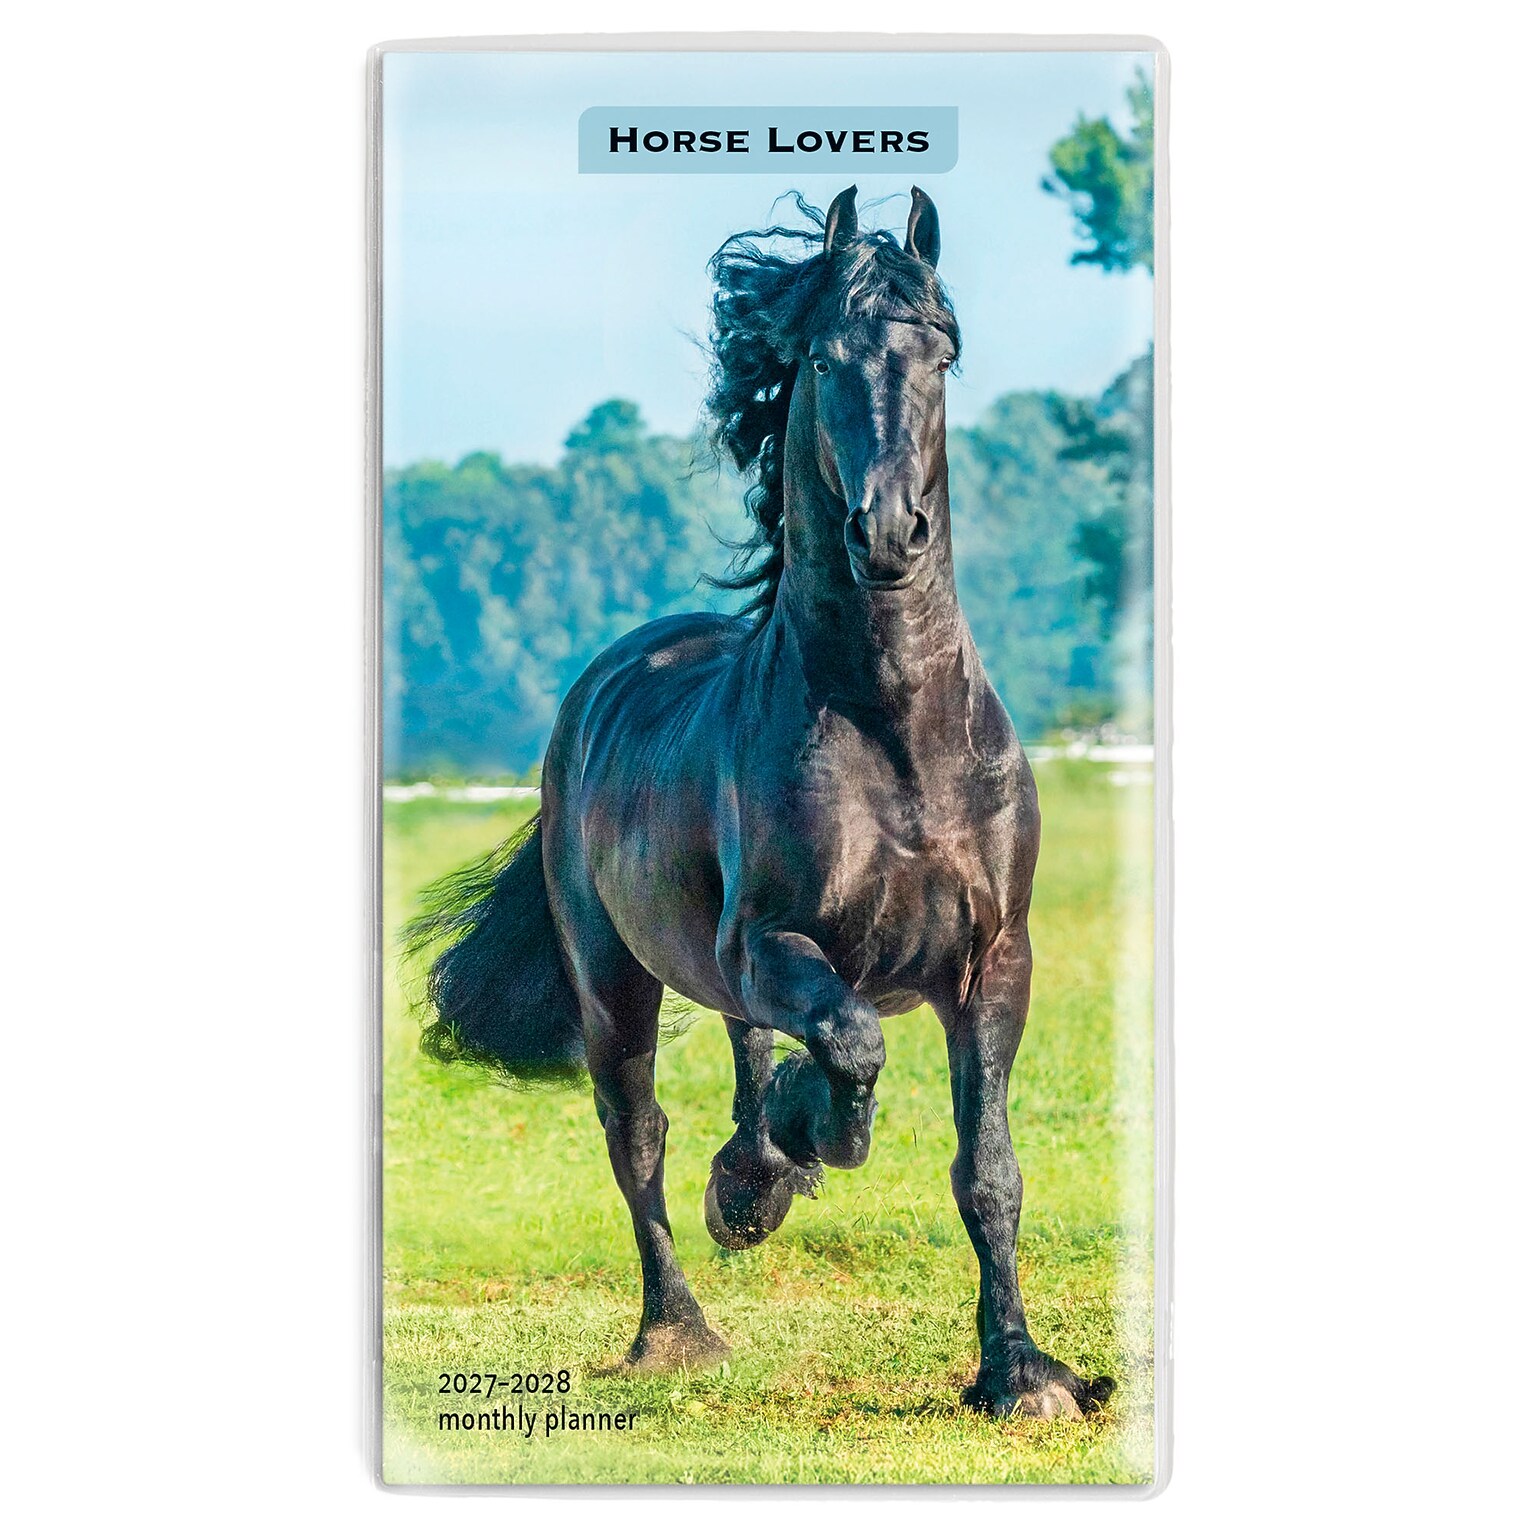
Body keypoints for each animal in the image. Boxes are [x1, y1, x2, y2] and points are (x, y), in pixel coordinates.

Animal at [407, 187, 1114, 1420]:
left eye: (941, 355)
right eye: (825, 358)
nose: (889, 532)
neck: (896, 732)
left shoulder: (996, 961)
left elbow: (988, 1170)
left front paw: (1021, 1374)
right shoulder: (773, 940)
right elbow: (851, 1043)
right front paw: (799, 1147)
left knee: (741, 1047)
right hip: (613, 977)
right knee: (636, 1135)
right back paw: (681, 1324)